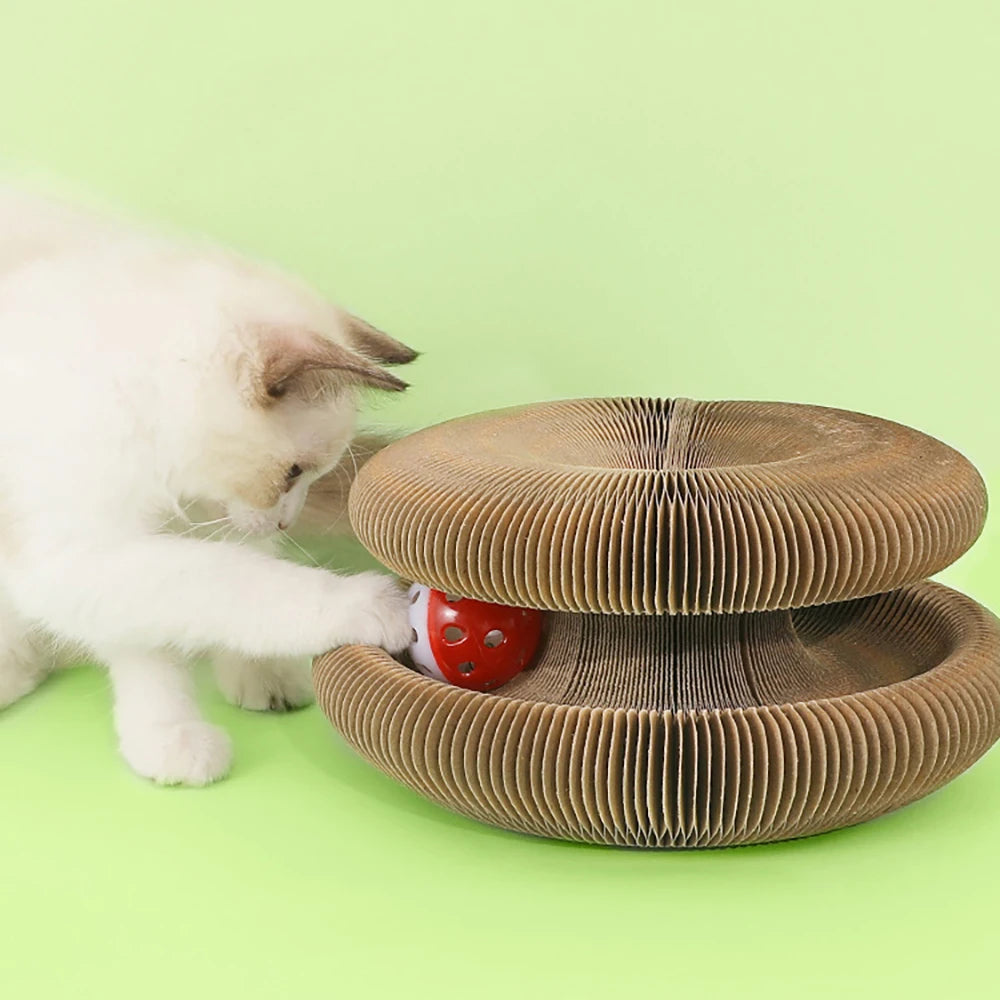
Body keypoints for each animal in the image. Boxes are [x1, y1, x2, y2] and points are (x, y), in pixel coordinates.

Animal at [0, 184, 416, 784]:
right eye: (293, 472)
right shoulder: (79, 555)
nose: (288, 520)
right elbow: (230, 588)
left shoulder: (189, 526)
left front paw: (254, 680)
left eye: (309, 476)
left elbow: (188, 609)